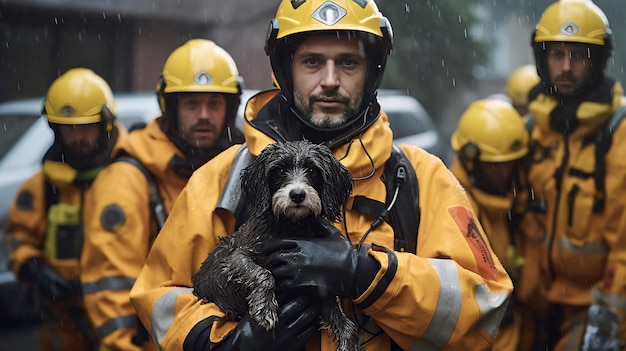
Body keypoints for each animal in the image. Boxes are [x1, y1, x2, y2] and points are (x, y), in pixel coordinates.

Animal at [190, 141, 356, 351]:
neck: (291, 226)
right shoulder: (234, 258)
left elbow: (345, 322)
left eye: (312, 170)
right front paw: (265, 308)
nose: (297, 195)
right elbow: (263, 273)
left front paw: (347, 342)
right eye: (280, 170)